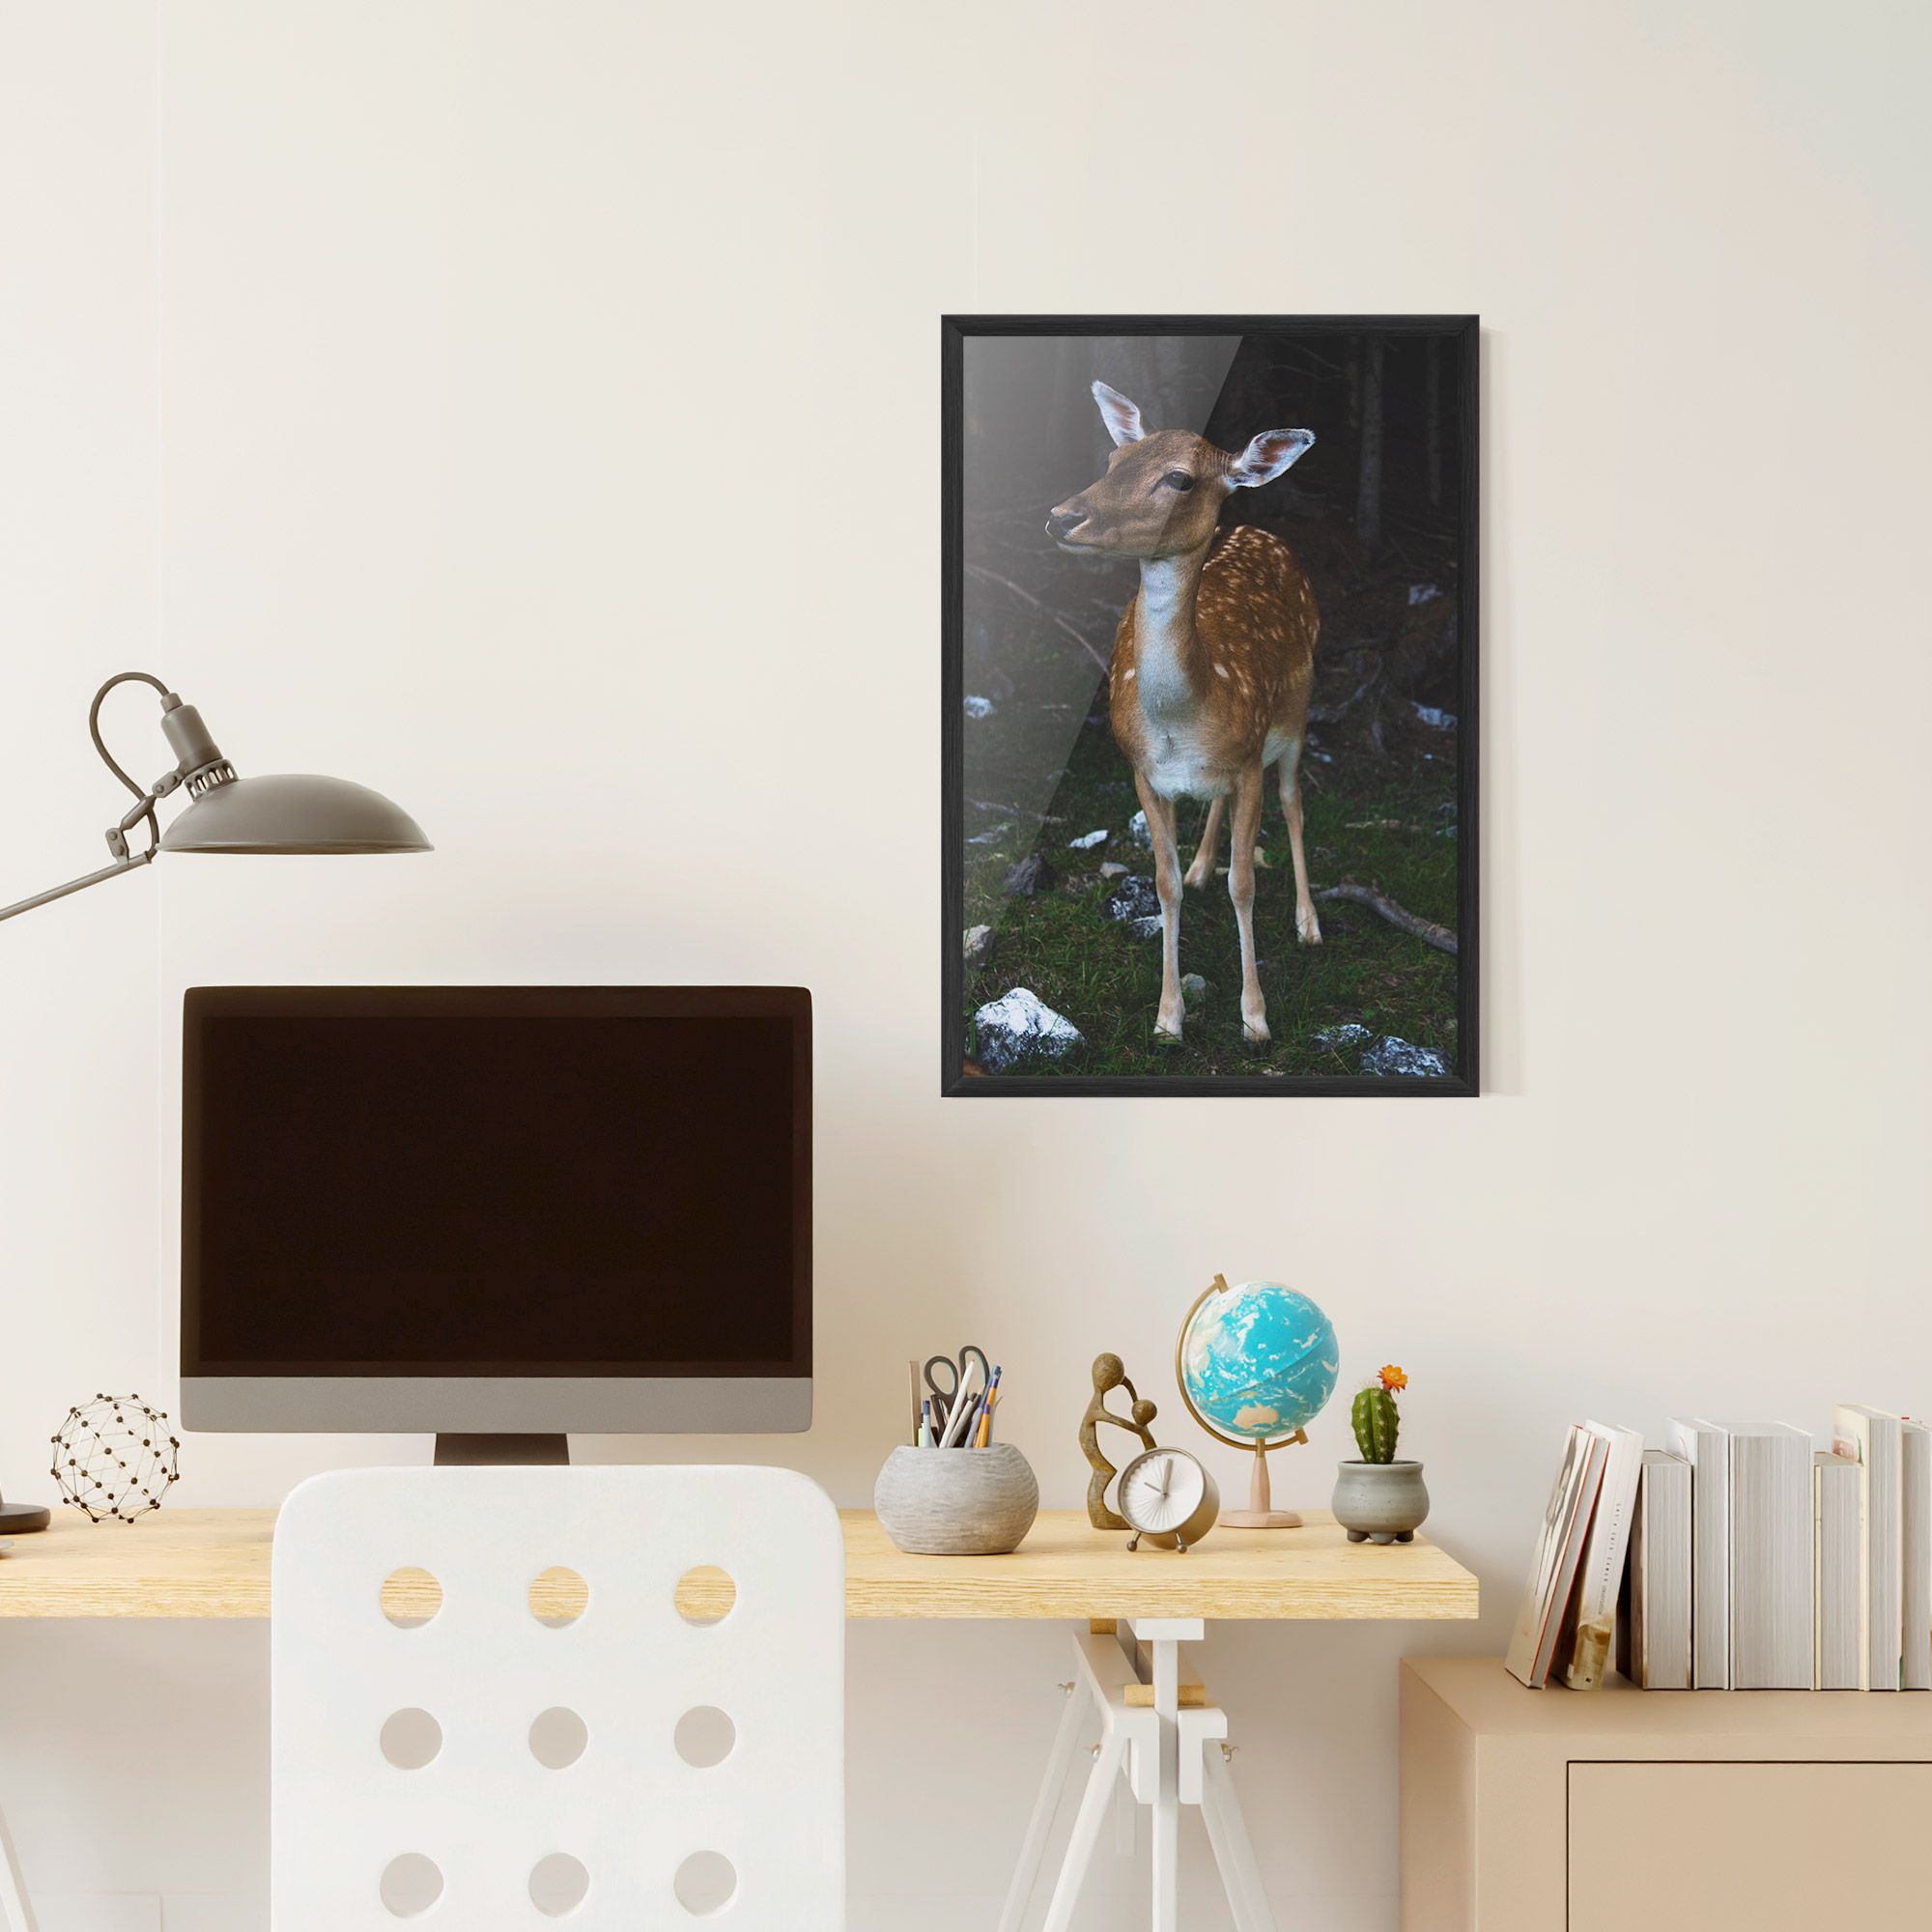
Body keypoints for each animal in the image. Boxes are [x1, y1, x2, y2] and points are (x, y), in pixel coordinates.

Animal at [1046, 380, 1323, 1046]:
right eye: (1114, 460)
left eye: (1179, 479)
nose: (1062, 516)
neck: (1184, 717)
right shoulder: (1143, 771)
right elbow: (1164, 885)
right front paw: (1168, 1017)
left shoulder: (1249, 761)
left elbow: (1244, 883)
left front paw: (1255, 1018)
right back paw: (1201, 866)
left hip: (1297, 713)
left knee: (1293, 801)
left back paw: (1309, 924)